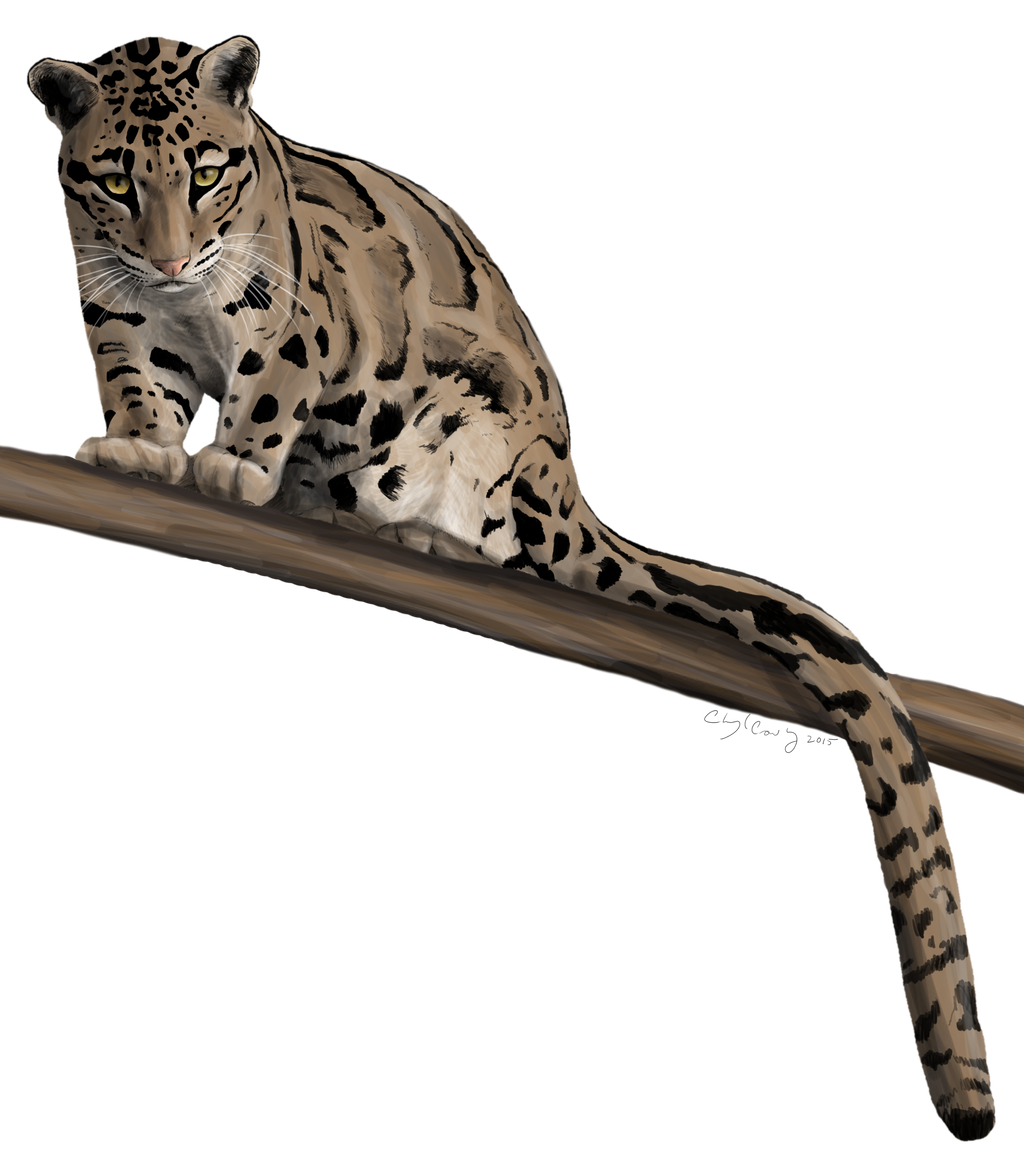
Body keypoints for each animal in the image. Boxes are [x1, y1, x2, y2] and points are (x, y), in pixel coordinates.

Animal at [22, 31, 998, 1142]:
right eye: (113, 181)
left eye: (208, 173)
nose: (173, 259)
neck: (183, 311)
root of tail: (576, 492)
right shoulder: (117, 317)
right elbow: (136, 385)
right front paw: (139, 448)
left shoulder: (302, 324)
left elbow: (266, 394)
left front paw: (227, 465)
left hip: (480, 429)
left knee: (490, 534)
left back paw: (406, 531)